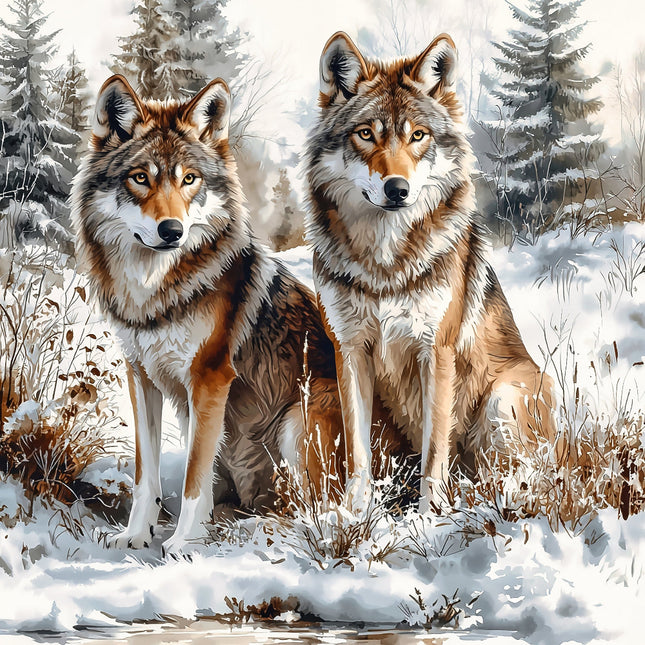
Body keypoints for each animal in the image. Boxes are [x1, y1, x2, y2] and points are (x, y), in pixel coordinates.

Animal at [71, 75, 344, 555]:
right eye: (140, 178)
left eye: (189, 180)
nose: (172, 231)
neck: (156, 293)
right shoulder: (140, 375)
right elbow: (145, 475)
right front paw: (137, 534)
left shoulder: (209, 380)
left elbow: (195, 477)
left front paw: (184, 543)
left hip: (301, 415)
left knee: (322, 512)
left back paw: (253, 530)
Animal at [305, 32, 557, 510]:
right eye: (366, 134)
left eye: (418, 136)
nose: (397, 189)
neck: (384, 264)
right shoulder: (349, 350)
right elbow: (357, 452)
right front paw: (353, 514)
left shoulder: (436, 353)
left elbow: (436, 448)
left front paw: (430, 515)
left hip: (504, 397)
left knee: (526, 474)